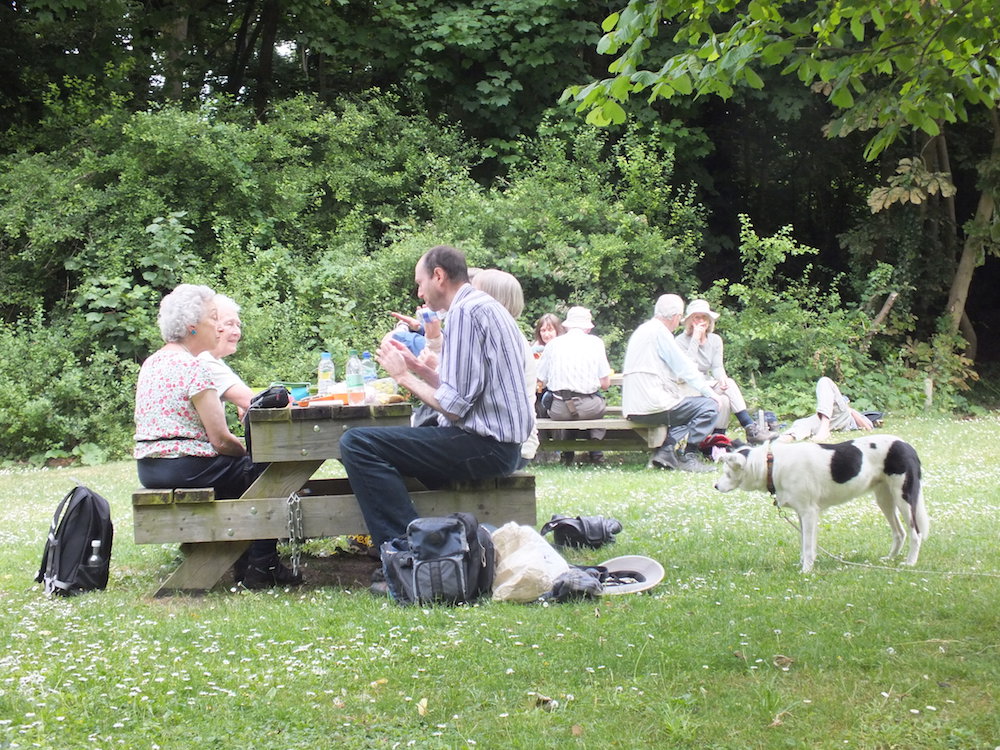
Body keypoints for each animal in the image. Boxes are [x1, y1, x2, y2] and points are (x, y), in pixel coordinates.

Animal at [716, 438, 924, 572]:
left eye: (727, 473)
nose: (715, 486)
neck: (772, 465)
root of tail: (907, 446)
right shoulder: (802, 514)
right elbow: (805, 544)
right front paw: (803, 565)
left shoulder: (809, 513)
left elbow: (808, 546)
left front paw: (806, 571)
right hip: (885, 499)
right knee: (900, 532)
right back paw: (890, 559)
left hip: (904, 499)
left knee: (915, 533)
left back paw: (910, 563)